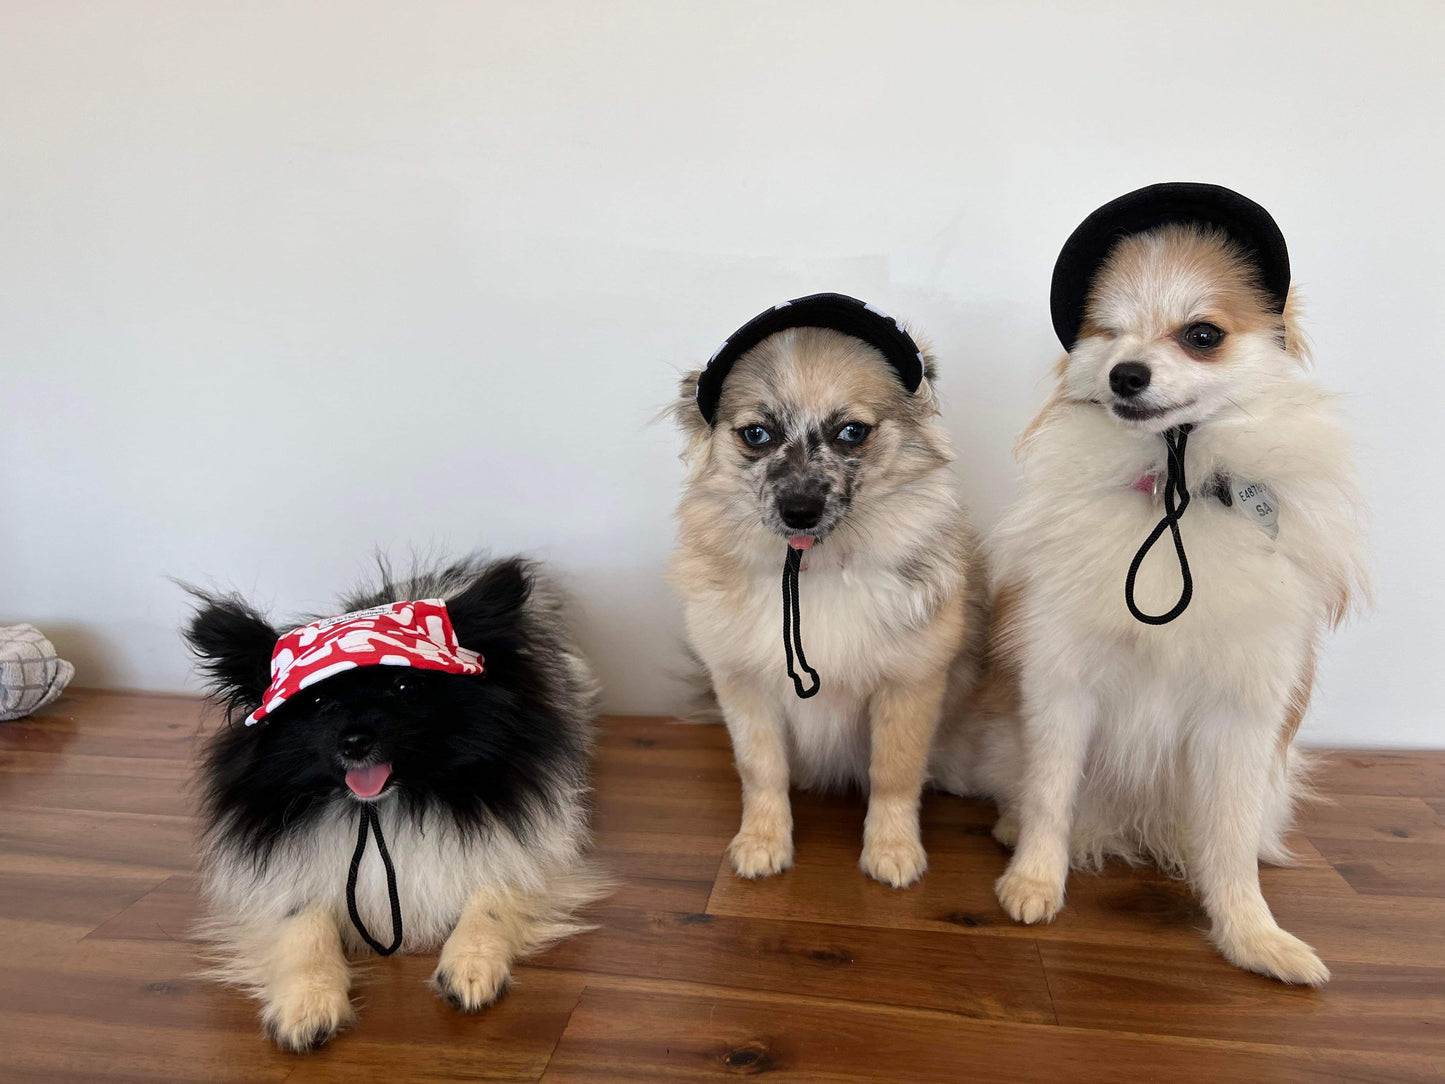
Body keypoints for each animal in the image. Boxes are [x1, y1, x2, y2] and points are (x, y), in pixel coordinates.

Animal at [184, 555, 604, 1046]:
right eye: (319, 699)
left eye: (405, 688)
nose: (354, 741)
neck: (387, 807)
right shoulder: (288, 883)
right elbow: (303, 924)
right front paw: (307, 1000)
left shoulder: (531, 852)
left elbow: (493, 894)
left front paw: (471, 962)